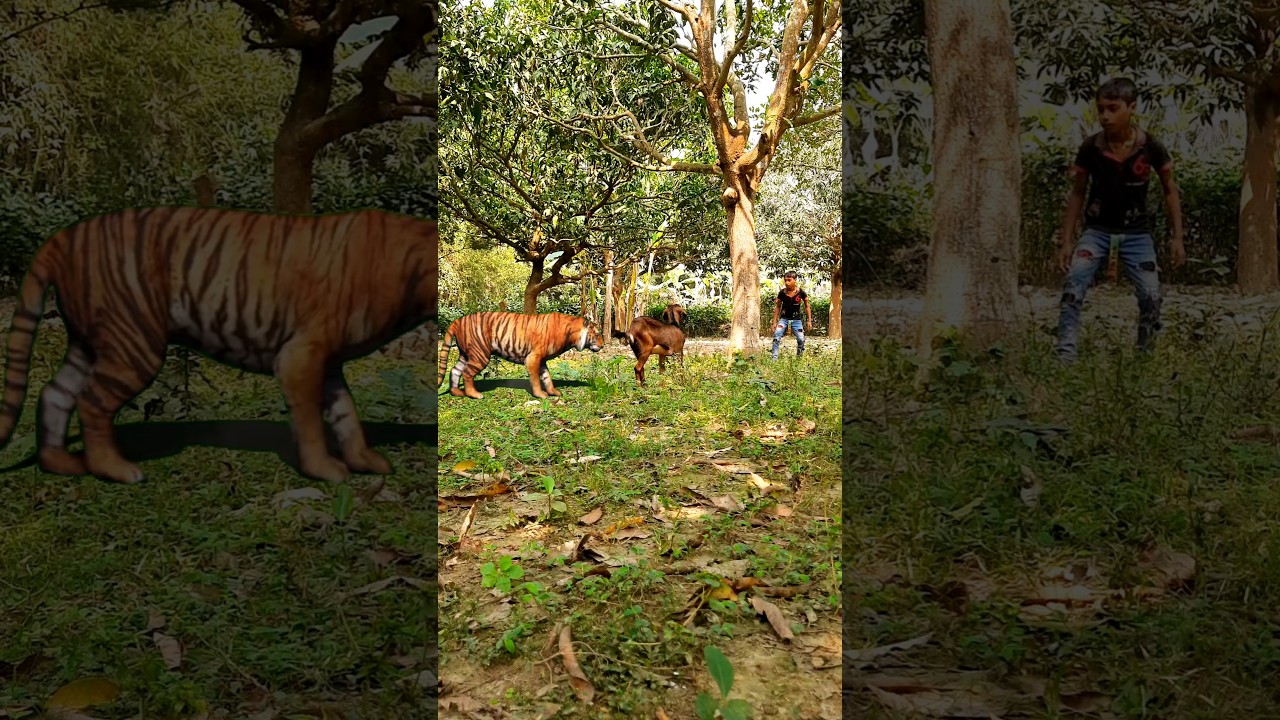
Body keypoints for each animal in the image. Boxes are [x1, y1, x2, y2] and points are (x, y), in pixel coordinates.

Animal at [0, 206, 437, 485]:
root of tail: (65, 235)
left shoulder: (327, 361)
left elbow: (346, 414)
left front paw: (364, 460)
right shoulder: (301, 355)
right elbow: (312, 419)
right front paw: (325, 470)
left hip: (89, 342)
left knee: (55, 393)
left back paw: (61, 464)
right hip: (133, 342)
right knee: (90, 401)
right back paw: (116, 470)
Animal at [437, 311, 604, 400]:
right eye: (597, 334)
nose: (602, 346)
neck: (571, 334)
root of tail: (458, 320)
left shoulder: (542, 360)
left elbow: (547, 377)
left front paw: (553, 392)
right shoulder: (533, 358)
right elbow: (536, 379)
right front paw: (541, 394)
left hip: (466, 354)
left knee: (455, 370)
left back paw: (457, 392)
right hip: (480, 354)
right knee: (466, 373)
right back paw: (474, 394)